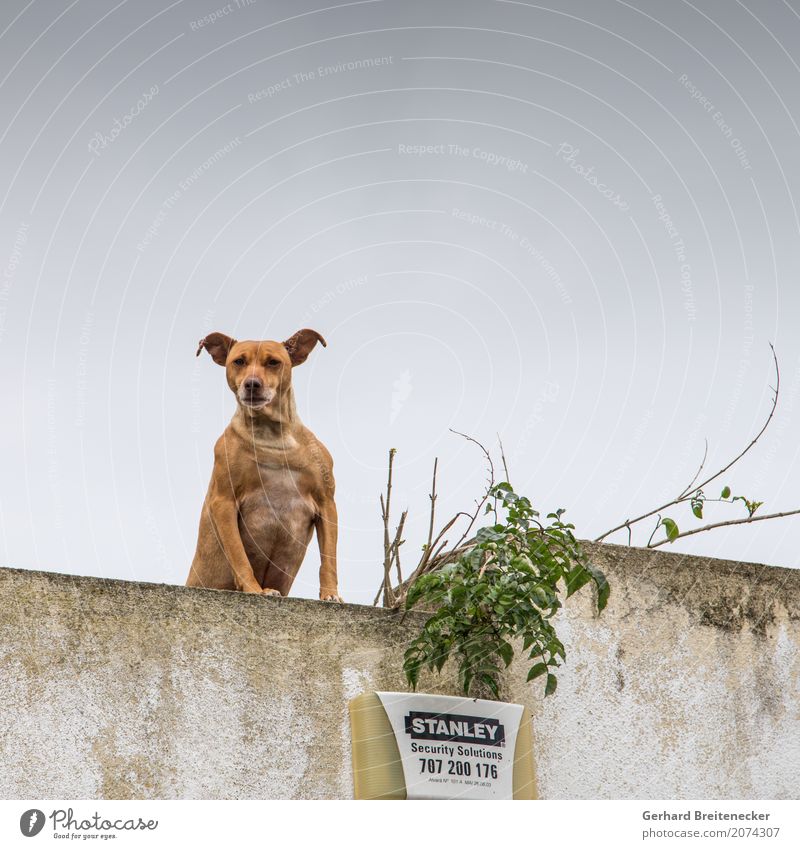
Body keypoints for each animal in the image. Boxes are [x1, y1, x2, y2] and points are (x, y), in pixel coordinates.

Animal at [187, 328, 340, 600]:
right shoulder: (223, 502)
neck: (272, 437)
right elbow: (239, 556)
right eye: (239, 361)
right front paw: (253, 589)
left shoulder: (326, 503)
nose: (252, 384)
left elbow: (329, 558)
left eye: (273, 362)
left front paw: (330, 594)